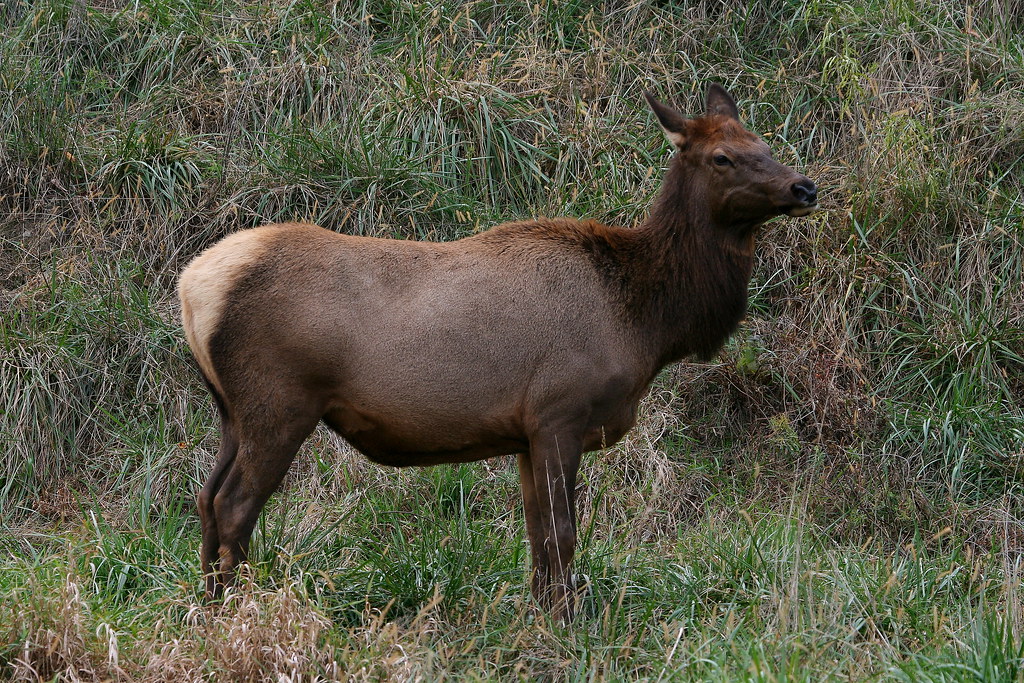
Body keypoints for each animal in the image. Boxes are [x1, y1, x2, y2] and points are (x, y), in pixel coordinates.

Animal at [178, 84, 818, 621]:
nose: (804, 186)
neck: (647, 324)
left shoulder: (525, 433)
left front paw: (541, 615)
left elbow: (537, 537)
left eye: (764, 143)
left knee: (205, 497)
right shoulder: (560, 411)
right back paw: (234, 612)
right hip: (280, 399)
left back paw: (204, 608)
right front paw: (565, 625)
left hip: (232, 408)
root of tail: (193, 285)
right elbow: (563, 535)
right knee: (234, 505)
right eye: (722, 157)